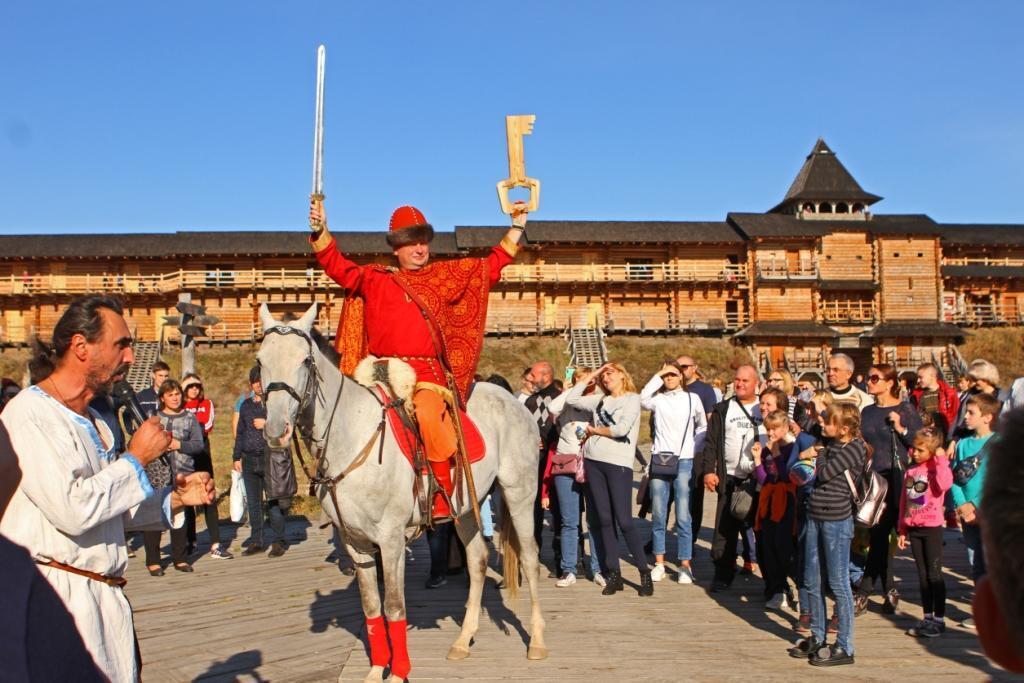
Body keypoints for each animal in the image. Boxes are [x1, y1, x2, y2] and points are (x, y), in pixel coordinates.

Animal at [253, 305, 544, 683]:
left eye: (304, 360)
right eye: (260, 360)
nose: (276, 430)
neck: (351, 434)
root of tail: (513, 400)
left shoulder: (390, 540)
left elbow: (394, 607)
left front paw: (398, 671)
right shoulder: (355, 542)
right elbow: (371, 607)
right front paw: (377, 669)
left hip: (519, 492)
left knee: (530, 557)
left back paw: (536, 640)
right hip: (466, 506)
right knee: (477, 560)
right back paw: (463, 639)